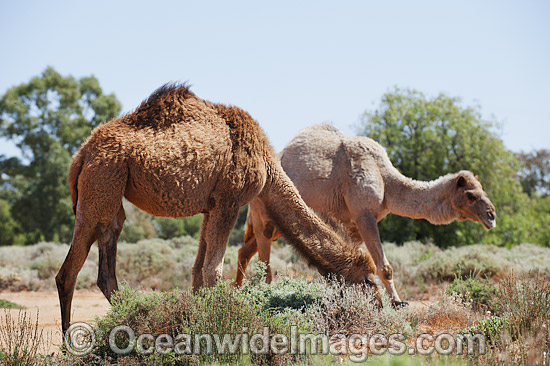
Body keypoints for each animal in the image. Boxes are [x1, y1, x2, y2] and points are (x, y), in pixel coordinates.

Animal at [56, 85, 382, 332]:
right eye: (369, 282)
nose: (380, 308)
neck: (267, 167)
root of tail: (80, 154)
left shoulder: (209, 207)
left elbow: (198, 271)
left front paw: (195, 321)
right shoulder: (229, 200)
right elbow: (213, 271)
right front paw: (220, 325)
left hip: (111, 191)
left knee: (106, 263)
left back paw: (129, 323)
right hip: (102, 181)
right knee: (68, 272)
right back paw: (69, 342)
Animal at [237, 124, 500, 304]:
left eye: (482, 189)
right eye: (471, 195)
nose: (491, 215)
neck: (385, 179)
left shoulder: (353, 226)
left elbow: (352, 260)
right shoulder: (364, 214)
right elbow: (385, 267)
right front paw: (397, 302)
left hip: (276, 224)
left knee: (245, 251)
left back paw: (236, 289)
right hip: (262, 213)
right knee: (263, 258)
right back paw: (260, 291)